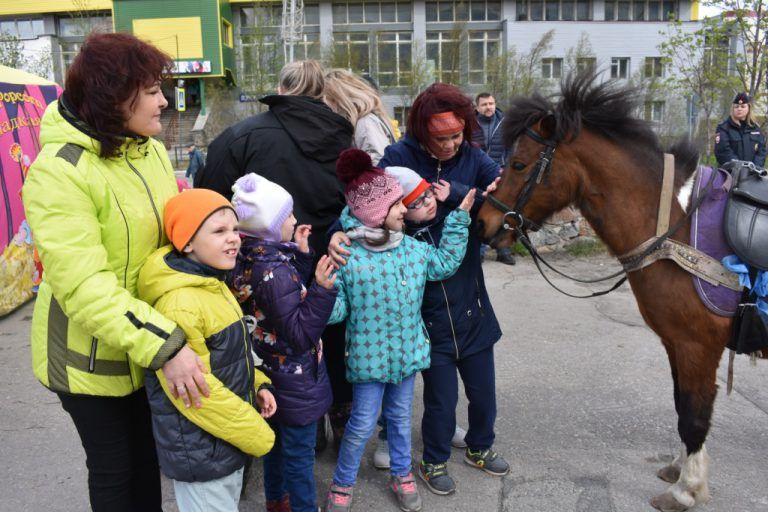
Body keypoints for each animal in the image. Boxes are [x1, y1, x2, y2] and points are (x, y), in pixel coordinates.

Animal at [480, 73, 732, 512]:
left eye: (518, 164)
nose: (482, 221)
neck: (674, 228)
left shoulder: (698, 343)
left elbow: (695, 414)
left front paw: (687, 488)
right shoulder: (676, 343)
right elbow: (683, 404)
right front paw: (681, 469)